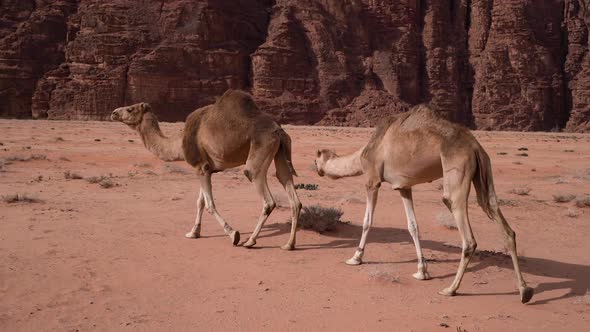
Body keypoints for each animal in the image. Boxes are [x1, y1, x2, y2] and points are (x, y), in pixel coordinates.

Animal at [112, 90, 302, 249]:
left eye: (130, 109)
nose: (113, 113)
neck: (179, 143)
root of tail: (278, 130)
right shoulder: (205, 168)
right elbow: (200, 202)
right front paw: (193, 233)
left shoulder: (200, 167)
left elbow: (210, 204)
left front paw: (234, 235)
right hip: (280, 152)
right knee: (290, 191)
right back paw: (289, 244)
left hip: (260, 150)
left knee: (264, 194)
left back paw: (250, 241)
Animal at [314, 104, 536, 304]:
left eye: (316, 160)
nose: (316, 169)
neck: (364, 153)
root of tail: (475, 147)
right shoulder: (404, 187)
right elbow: (413, 226)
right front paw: (422, 271)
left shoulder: (372, 179)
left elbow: (367, 221)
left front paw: (356, 258)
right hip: (483, 174)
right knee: (500, 220)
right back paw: (525, 291)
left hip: (457, 170)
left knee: (466, 233)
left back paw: (450, 289)